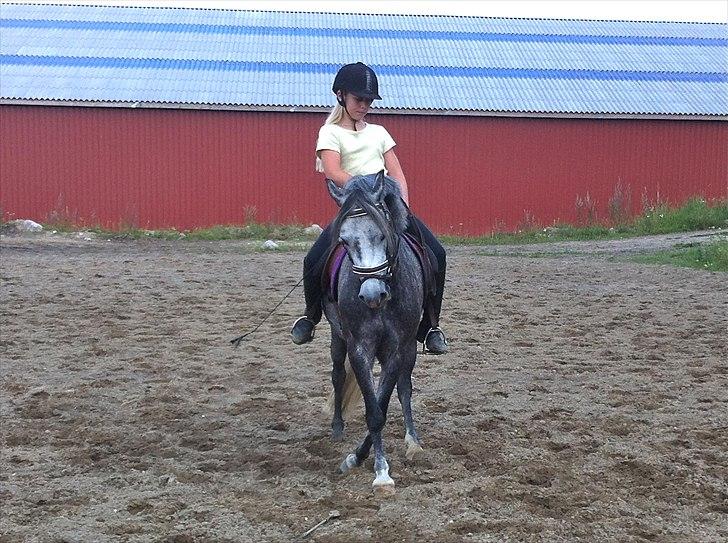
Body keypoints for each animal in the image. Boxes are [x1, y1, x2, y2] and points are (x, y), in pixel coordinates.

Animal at [326, 174, 426, 498]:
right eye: (344, 241)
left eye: (383, 234)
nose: (372, 294)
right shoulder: (359, 348)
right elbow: (374, 411)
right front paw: (373, 467)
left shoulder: (397, 348)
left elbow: (383, 402)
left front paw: (376, 464)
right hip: (337, 337)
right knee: (337, 375)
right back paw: (337, 427)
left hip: (408, 349)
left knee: (404, 387)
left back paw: (413, 441)